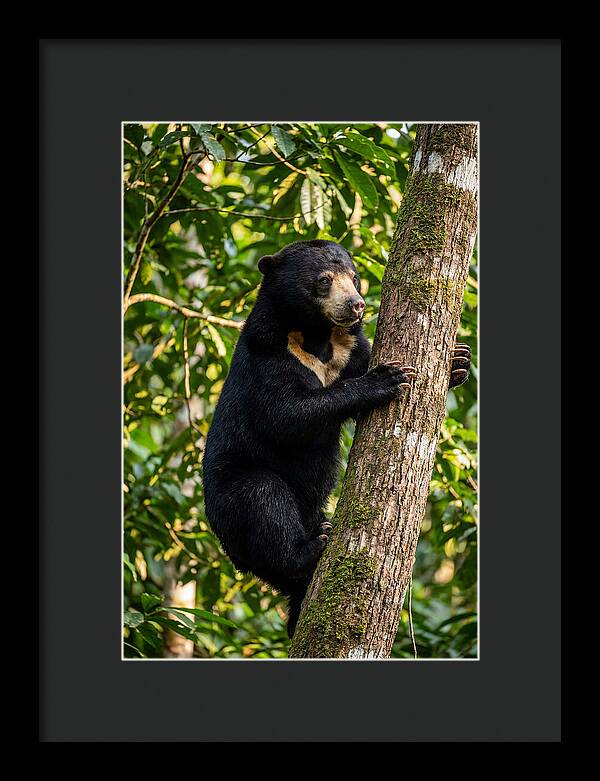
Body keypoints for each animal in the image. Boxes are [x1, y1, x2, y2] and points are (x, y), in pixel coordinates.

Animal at [202, 239, 470, 638]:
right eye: (324, 280)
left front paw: (458, 360)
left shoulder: (350, 348)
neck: (317, 336)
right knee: (262, 498)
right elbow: (285, 416)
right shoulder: (268, 355)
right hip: (231, 493)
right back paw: (313, 546)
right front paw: (385, 379)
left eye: (355, 278)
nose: (357, 305)